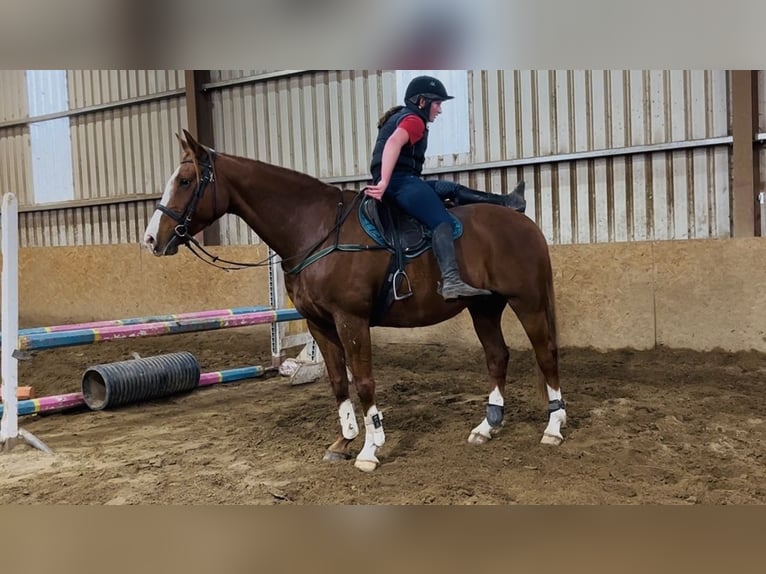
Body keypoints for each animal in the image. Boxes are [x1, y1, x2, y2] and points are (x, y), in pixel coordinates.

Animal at [143, 129, 566, 472]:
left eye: (185, 181)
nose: (150, 239)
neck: (315, 229)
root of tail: (524, 224)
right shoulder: (319, 323)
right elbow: (337, 382)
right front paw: (343, 441)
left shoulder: (351, 320)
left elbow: (363, 381)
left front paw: (370, 449)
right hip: (484, 307)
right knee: (497, 356)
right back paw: (486, 427)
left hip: (527, 302)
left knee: (545, 354)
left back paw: (553, 428)